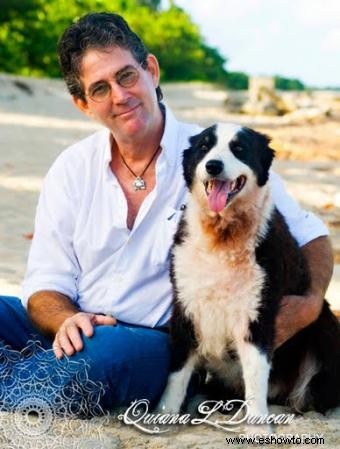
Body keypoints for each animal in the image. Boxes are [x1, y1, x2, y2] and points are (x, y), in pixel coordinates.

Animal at [159, 122, 340, 420]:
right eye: (205, 147)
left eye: (239, 149)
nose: (213, 166)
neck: (222, 235)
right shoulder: (186, 306)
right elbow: (176, 376)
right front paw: (165, 414)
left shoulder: (257, 315)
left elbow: (255, 379)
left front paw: (258, 423)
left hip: (323, 332)